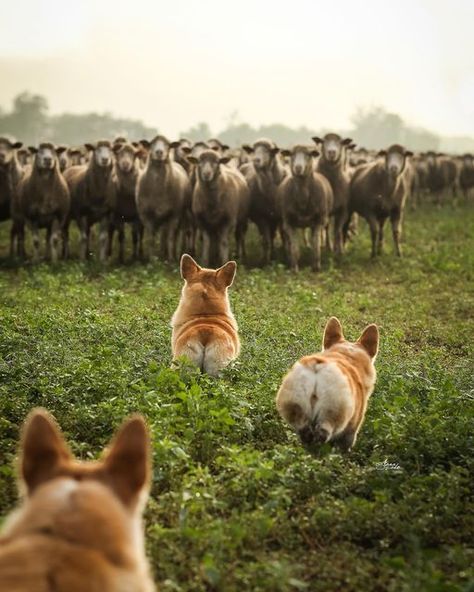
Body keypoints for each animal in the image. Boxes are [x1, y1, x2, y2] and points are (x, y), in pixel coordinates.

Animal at [276, 316, 380, 450]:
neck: (346, 356)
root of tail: (317, 367)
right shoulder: (352, 427)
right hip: (335, 410)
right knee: (324, 432)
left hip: (294, 400)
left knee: (304, 429)